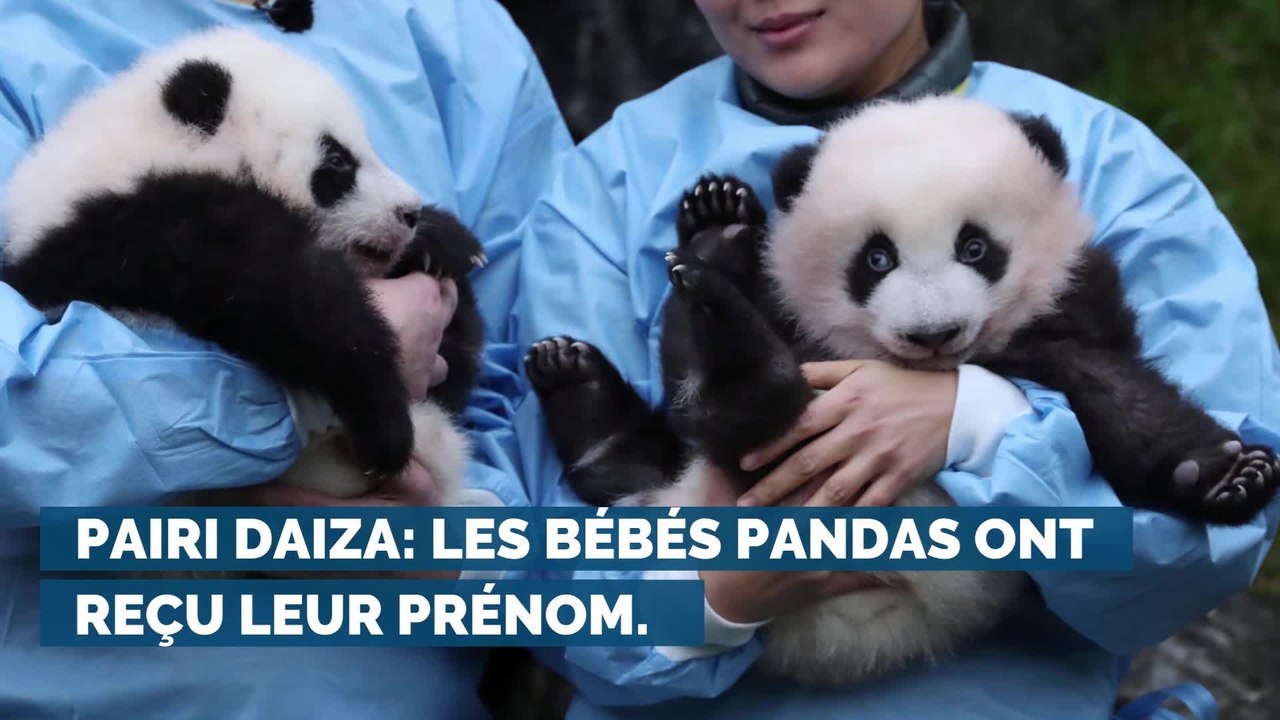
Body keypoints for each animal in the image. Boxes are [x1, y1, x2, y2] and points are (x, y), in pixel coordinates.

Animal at [525, 95, 1280, 686]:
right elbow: (691, 365)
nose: (934, 333)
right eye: (876, 258)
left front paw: (1223, 474)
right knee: (714, 422)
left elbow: (1108, 383)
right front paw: (717, 221)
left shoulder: (1072, 303)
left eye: (975, 247)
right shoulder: (796, 318)